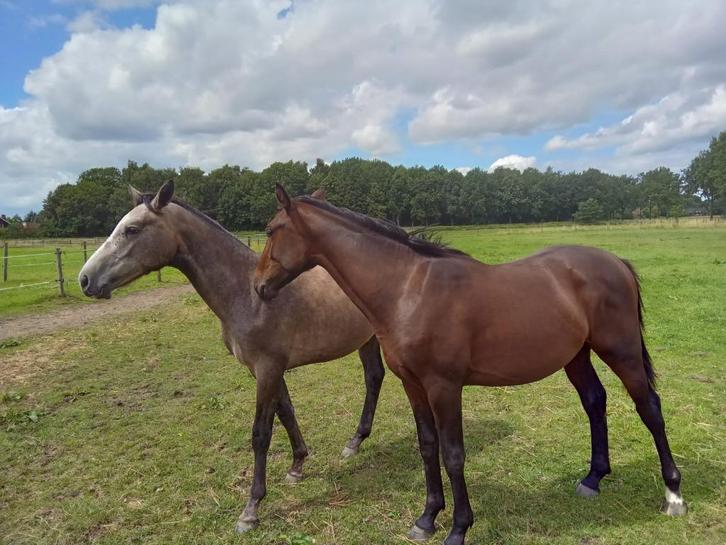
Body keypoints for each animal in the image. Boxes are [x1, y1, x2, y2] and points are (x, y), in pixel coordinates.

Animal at [77, 181, 386, 533]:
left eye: (132, 229)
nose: (85, 279)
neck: (247, 293)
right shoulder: (264, 370)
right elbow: (286, 412)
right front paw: (297, 466)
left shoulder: (268, 369)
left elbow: (261, 434)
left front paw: (251, 510)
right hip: (366, 340)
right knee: (373, 378)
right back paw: (354, 442)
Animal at [253, 184, 687, 545]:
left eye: (272, 230)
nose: (258, 287)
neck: (408, 289)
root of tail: (616, 262)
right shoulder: (412, 384)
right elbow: (428, 447)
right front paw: (427, 519)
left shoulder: (444, 387)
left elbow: (453, 454)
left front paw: (459, 528)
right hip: (576, 356)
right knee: (595, 402)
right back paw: (593, 479)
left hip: (621, 351)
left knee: (650, 407)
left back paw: (673, 495)